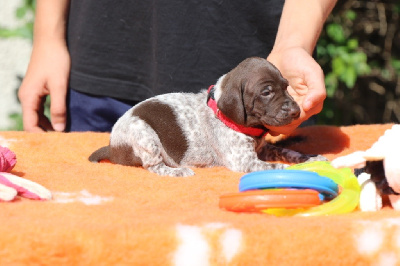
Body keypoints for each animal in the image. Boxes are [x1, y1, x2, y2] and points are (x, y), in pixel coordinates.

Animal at [90, 57, 324, 176]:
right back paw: (177, 172)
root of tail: (112, 147)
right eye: (266, 92)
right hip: (143, 134)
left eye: (286, 86)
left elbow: (288, 151)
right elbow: (277, 166)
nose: (296, 111)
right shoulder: (245, 161)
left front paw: (311, 158)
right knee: (153, 166)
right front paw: (302, 170)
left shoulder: (264, 149)